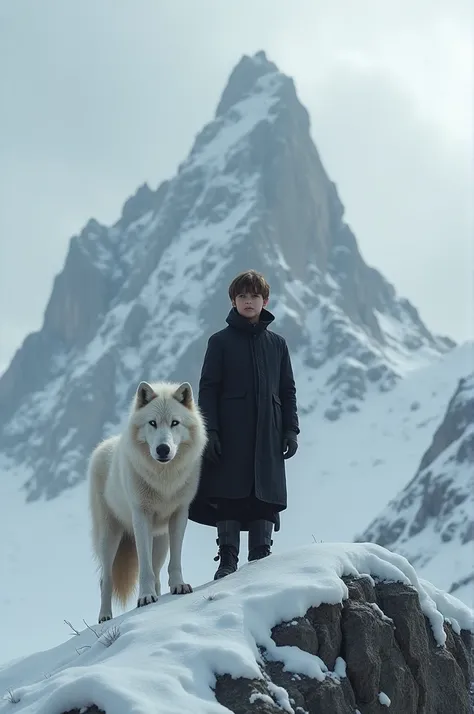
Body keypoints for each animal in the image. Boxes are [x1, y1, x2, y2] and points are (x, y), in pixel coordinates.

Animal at [88, 382, 206, 620]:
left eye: (175, 423)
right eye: (152, 423)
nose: (163, 449)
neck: (164, 480)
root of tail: (103, 446)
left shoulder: (180, 514)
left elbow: (175, 561)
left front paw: (179, 586)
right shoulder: (141, 517)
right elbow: (144, 568)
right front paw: (145, 598)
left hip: (160, 541)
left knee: (157, 571)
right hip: (109, 537)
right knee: (106, 579)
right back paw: (105, 616)